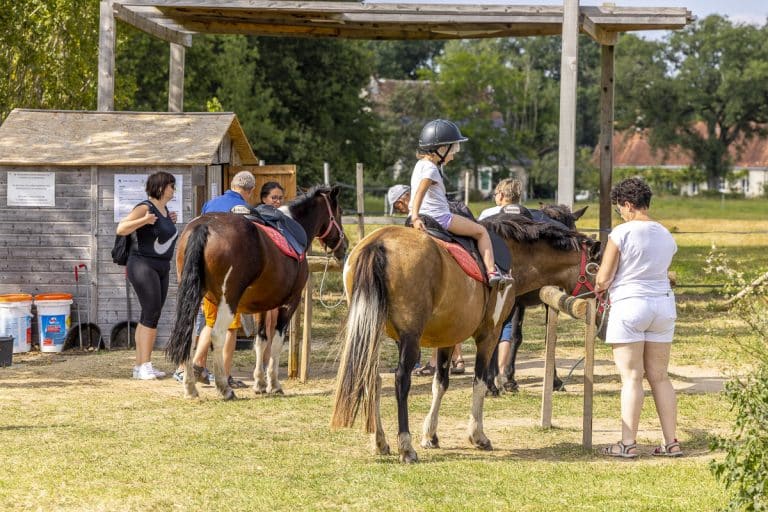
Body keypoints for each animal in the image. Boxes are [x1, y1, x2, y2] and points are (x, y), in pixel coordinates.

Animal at [170, 185, 350, 400]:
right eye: (339, 213)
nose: (345, 246)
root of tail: (205, 226)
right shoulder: (290, 303)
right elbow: (276, 342)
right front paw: (273, 384)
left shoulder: (261, 306)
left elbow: (261, 341)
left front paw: (260, 383)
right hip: (227, 302)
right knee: (217, 336)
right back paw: (224, 388)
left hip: (195, 297)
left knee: (188, 338)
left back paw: (190, 387)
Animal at [330, 214, 600, 462]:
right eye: (596, 269)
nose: (599, 307)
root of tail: (379, 243)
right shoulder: (489, 334)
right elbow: (479, 382)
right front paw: (477, 435)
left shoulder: (448, 337)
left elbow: (440, 384)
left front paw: (430, 434)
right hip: (410, 338)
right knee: (400, 381)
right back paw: (405, 446)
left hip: (373, 331)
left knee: (371, 378)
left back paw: (380, 441)